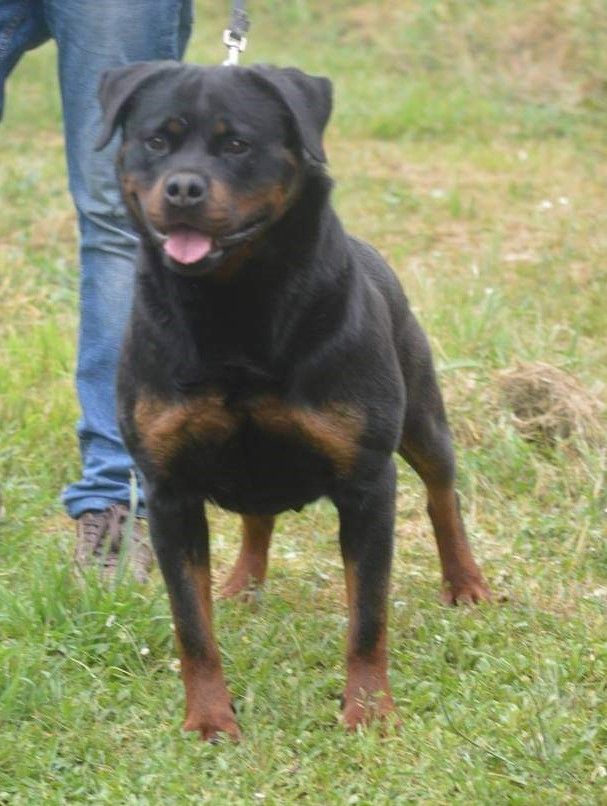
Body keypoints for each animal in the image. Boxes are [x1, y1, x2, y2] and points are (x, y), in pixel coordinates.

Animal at [96, 61, 491, 741]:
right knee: (259, 519)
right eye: (156, 141)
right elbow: (192, 625)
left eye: (236, 144)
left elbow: (367, 616)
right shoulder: (169, 490)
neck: (232, 303)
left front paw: (369, 710)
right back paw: (240, 583)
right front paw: (209, 719)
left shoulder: (367, 483)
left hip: (423, 419)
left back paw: (465, 581)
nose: (182, 188)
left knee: (443, 494)